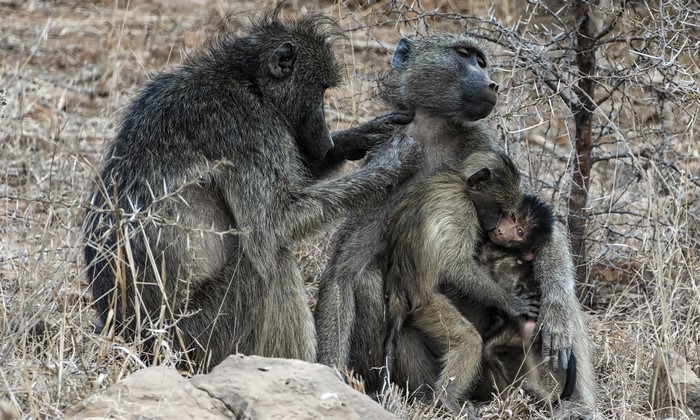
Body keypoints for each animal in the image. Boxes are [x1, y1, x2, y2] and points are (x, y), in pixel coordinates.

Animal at [82, 8, 422, 374]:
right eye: (320, 92)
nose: (326, 140)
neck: (247, 80)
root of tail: (126, 334)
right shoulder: (248, 128)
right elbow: (271, 225)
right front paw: (390, 164)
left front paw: (363, 135)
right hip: (194, 340)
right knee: (269, 263)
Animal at [313, 32, 596, 415]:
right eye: (464, 55)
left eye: (482, 61)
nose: (492, 84)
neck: (434, 132)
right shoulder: (383, 168)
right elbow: (342, 274)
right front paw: (330, 377)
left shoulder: (485, 147)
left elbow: (545, 232)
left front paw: (557, 316)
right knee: (368, 279)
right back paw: (433, 399)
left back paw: (575, 404)